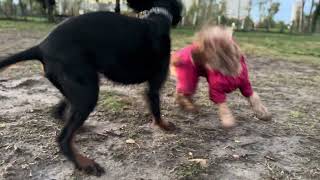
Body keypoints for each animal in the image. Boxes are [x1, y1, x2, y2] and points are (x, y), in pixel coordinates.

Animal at [0, 0, 181, 176]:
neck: (158, 17)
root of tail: (41, 47)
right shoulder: (154, 86)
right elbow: (156, 110)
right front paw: (164, 126)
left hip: (80, 87)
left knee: (61, 114)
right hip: (89, 93)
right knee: (63, 138)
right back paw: (85, 164)